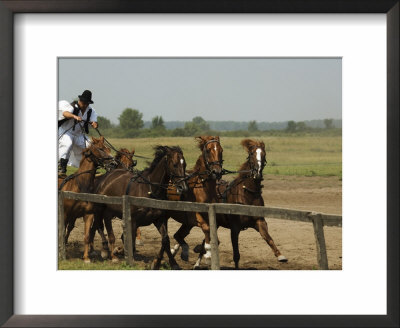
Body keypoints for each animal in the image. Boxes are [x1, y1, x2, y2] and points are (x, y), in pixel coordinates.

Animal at [167, 136, 223, 266]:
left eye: (221, 150)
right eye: (208, 150)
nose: (217, 172)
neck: (204, 188)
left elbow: (215, 238)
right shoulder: (195, 216)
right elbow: (206, 229)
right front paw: (208, 253)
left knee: (178, 235)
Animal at [195, 138, 286, 270]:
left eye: (264, 154)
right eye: (252, 154)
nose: (257, 173)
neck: (248, 193)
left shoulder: (260, 221)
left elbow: (268, 238)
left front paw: (280, 255)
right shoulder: (235, 228)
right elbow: (236, 255)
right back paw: (197, 263)